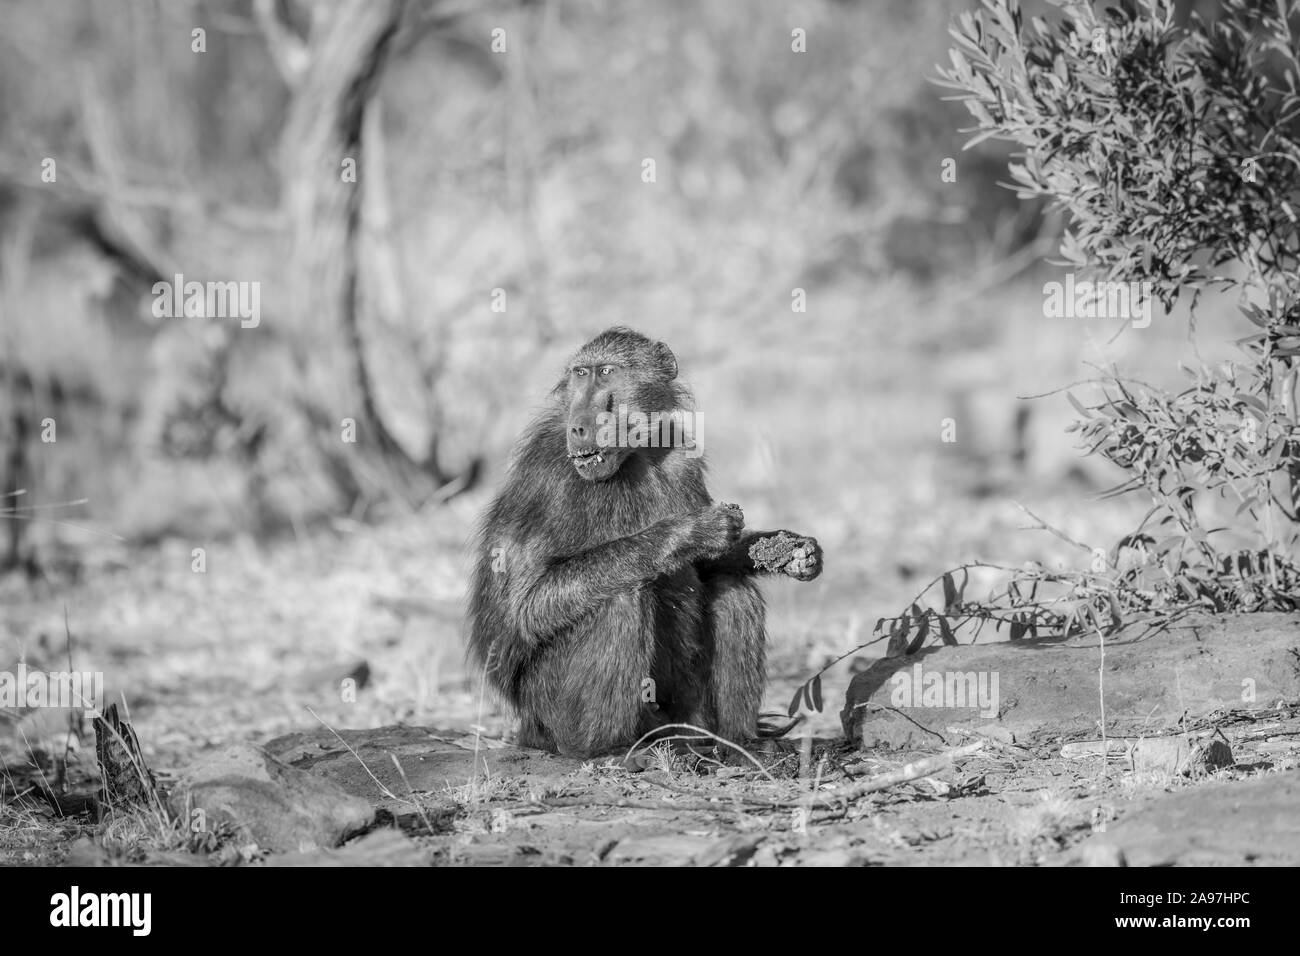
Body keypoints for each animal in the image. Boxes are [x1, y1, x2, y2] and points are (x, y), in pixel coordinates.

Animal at [466, 327, 822, 757]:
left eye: (606, 372)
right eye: (580, 374)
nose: (580, 426)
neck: (633, 454)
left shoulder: (681, 455)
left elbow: (709, 565)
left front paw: (791, 551)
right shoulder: (547, 470)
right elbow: (524, 606)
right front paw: (686, 532)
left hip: (686, 712)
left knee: (733, 591)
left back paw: (740, 742)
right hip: (548, 711)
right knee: (619, 599)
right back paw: (606, 749)